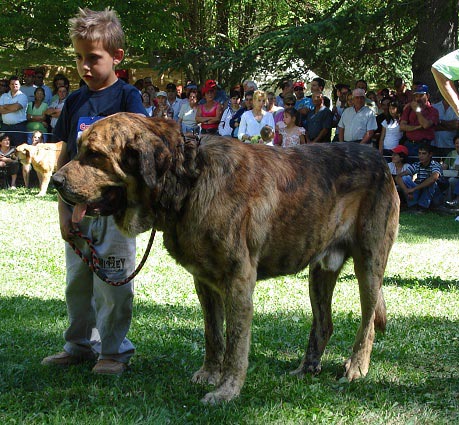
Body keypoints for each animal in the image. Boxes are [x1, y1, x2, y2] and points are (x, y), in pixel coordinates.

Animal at [52, 112, 400, 404]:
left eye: (95, 155)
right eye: (80, 149)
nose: (55, 181)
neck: (188, 180)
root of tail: (379, 160)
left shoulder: (238, 282)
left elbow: (235, 343)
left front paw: (227, 391)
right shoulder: (204, 282)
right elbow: (213, 334)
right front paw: (209, 374)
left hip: (369, 266)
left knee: (367, 322)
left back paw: (356, 367)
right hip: (320, 272)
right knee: (324, 323)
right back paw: (307, 367)